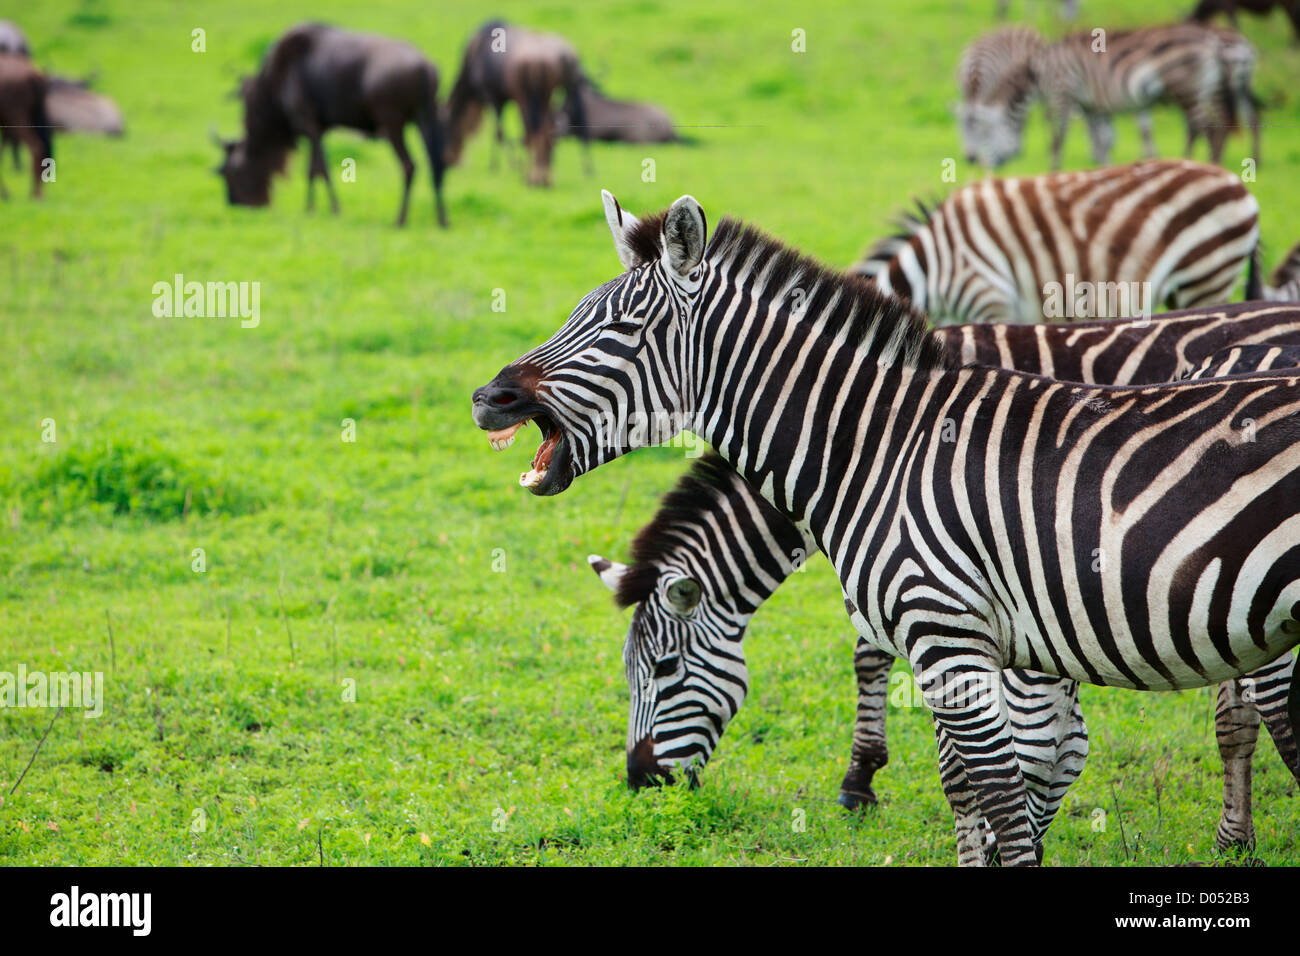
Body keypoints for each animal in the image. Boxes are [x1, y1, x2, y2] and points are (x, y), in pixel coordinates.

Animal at [963, 23, 1259, 170]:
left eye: (986, 132)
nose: (978, 164)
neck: (1041, 68)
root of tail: (1212, 40)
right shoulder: (1092, 105)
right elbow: (1103, 141)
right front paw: (1102, 173)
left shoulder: (1062, 94)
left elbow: (1058, 139)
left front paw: (1053, 171)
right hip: (1211, 90)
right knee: (1229, 122)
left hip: (1188, 89)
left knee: (1203, 127)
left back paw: (1192, 162)